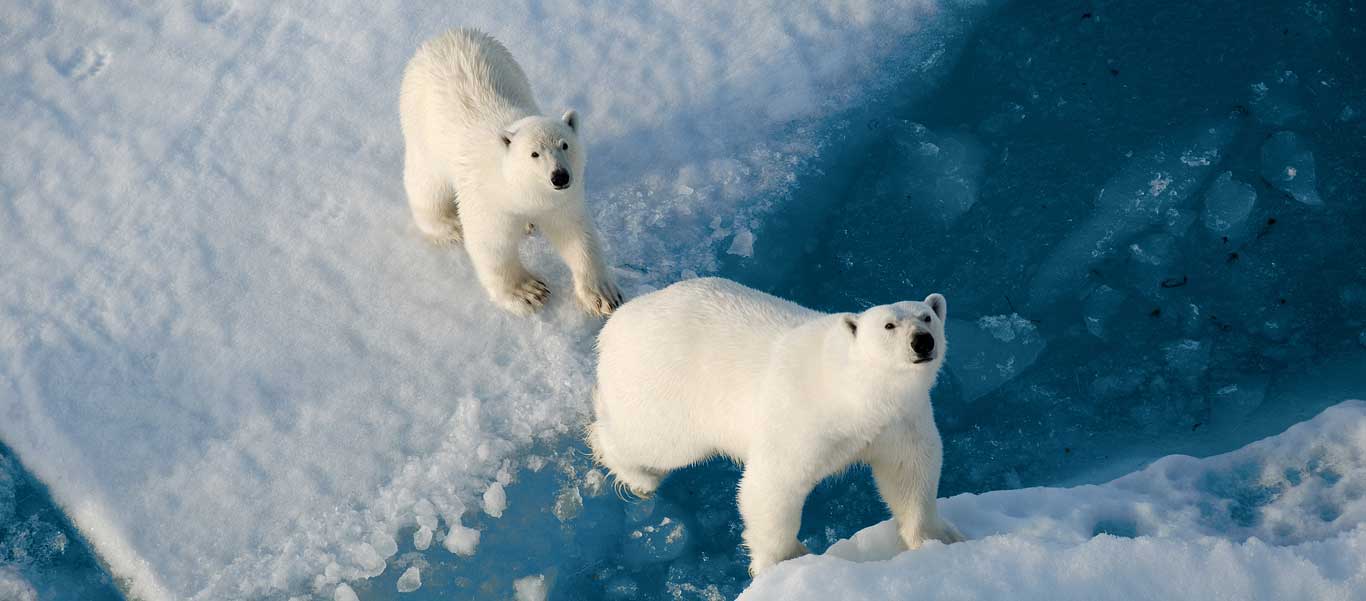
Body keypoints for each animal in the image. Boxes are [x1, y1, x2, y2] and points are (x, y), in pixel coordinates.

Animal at [398, 29, 625, 314]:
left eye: (565, 145)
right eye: (534, 154)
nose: (560, 176)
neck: (516, 188)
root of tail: (445, 35)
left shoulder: (558, 201)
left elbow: (575, 233)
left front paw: (603, 295)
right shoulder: (487, 196)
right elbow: (491, 242)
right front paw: (528, 292)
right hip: (422, 130)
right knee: (427, 184)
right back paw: (448, 225)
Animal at [592, 277, 967, 573]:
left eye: (927, 316)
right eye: (889, 326)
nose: (922, 341)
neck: (852, 389)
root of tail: (617, 325)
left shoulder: (900, 420)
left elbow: (910, 470)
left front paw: (938, 537)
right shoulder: (803, 417)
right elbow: (772, 485)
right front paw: (786, 560)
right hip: (667, 387)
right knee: (653, 442)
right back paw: (637, 475)